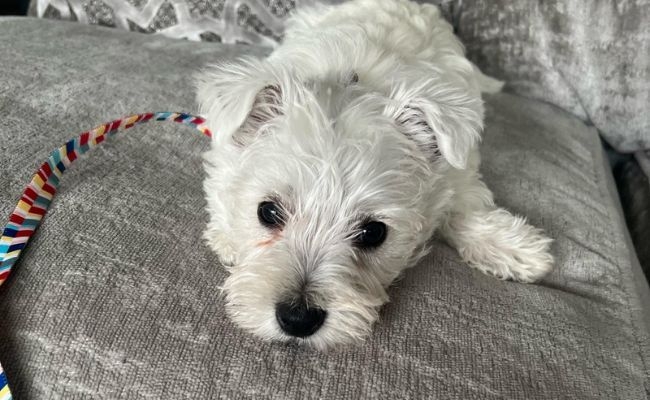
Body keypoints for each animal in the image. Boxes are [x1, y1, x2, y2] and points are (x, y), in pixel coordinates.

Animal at [194, 0, 552, 350]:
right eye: (267, 212)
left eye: (374, 233)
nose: (298, 319)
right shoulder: (224, 154)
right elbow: (221, 189)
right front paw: (226, 238)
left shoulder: (457, 168)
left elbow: (465, 206)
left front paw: (514, 249)